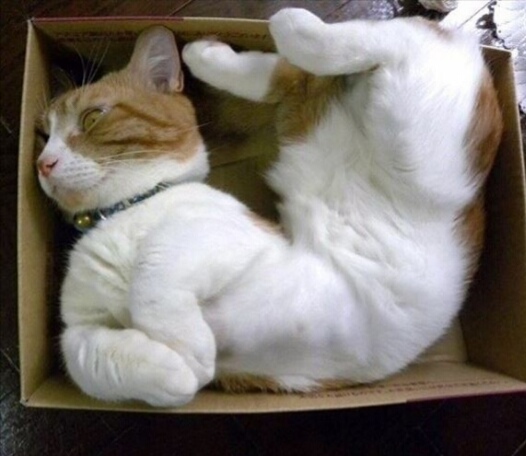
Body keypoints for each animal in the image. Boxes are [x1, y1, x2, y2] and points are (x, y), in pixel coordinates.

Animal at [36, 8, 502, 407]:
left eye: (92, 118)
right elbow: (81, 356)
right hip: (309, 125)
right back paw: (207, 54)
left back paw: (293, 26)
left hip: (416, 136)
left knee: (403, 36)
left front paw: (189, 348)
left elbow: (154, 268)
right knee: (293, 77)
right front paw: (175, 375)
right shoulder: (81, 324)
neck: (118, 214)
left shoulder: (227, 239)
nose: (43, 162)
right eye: (42, 135)